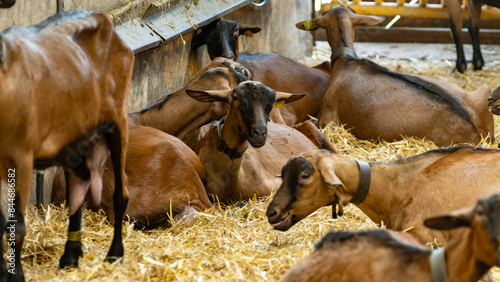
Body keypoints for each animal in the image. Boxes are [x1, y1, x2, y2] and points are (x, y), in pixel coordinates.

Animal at [0, 9, 134, 278]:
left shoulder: (21, 157)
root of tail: (104, 19)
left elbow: (16, 226)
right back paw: (71, 255)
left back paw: (114, 254)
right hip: (71, 138)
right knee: (79, 183)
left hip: (118, 118)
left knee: (120, 194)